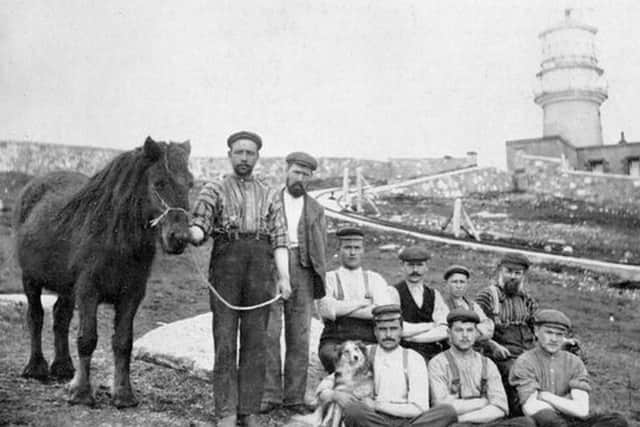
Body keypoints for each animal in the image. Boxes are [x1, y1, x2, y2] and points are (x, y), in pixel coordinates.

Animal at [12, 137, 192, 408]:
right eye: (159, 183)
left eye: (190, 183)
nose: (179, 238)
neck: (115, 238)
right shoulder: (88, 291)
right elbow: (87, 339)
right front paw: (81, 393)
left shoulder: (131, 296)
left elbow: (123, 343)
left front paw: (123, 394)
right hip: (31, 279)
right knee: (36, 316)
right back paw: (36, 368)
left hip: (67, 288)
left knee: (61, 317)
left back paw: (63, 368)